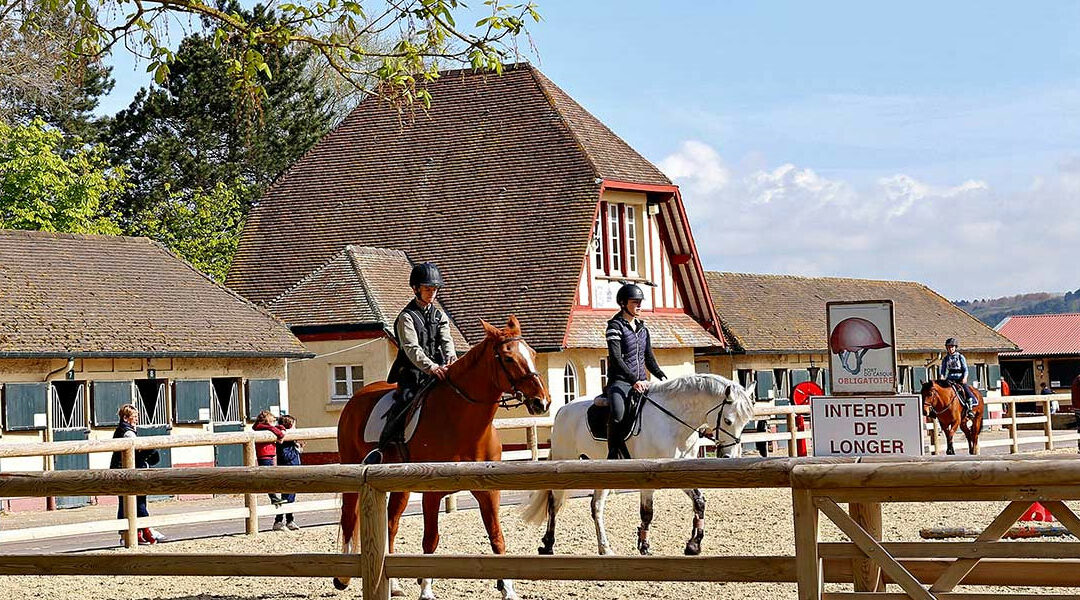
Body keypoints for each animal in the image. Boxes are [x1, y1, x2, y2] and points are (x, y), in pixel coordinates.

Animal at [332, 317, 548, 595]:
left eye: (532, 354)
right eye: (509, 358)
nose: (542, 402)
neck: (461, 422)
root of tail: (354, 399)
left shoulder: (489, 492)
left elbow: (497, 537)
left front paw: (508, 591)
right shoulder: (432, 494)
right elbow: (430, 541)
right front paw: (426, 590)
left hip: (397, 487)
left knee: (390, 523)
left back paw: (393, 585)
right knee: (349, 518)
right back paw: (342, 577)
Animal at [520, 375, 756, 556]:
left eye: (745, 422)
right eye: (728, 421)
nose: (728, 456)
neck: (673, 422)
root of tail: (563, 410)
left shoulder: (680, 472)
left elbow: (699, 502)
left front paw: (693, 546)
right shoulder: (648, 477)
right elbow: (647, 513)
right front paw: (644, 546)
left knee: (596, 507)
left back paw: (604, 548)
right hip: (565, 461)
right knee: (554, 502)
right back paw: (548, 545)